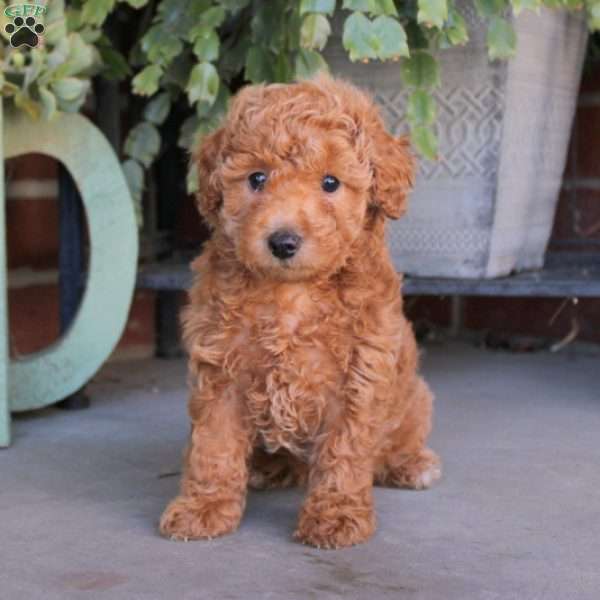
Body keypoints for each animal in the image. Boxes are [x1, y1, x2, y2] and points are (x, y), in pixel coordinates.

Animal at [159, 75, 440, 548]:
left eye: (330, 182)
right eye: (257, 178)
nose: (283, 241)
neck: (292, 295)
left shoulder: (359, 376)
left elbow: (344, 452)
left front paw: (336, 516)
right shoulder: (221, 369)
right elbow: (214, 445)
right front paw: (204, 508)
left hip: (414, 396)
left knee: (400, 437)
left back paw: (411, 464)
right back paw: (268, 468)